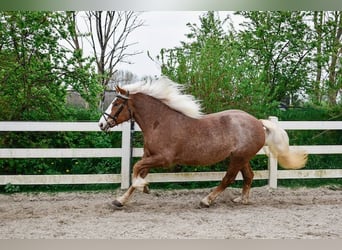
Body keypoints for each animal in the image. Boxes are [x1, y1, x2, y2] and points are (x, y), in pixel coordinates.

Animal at [98, 77, 308, 207]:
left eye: (117, 104)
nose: (101, 124)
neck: (160, 122)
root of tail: (258, 122)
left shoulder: (163, 159)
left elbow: (135, 170)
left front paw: (144, 187)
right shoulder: (149, 156)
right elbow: (138, 172)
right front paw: (121, 200)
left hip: (238, 158)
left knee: (228, 178)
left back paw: (207, 200)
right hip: (242, 157)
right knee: (249, 176)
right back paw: (242, 200)